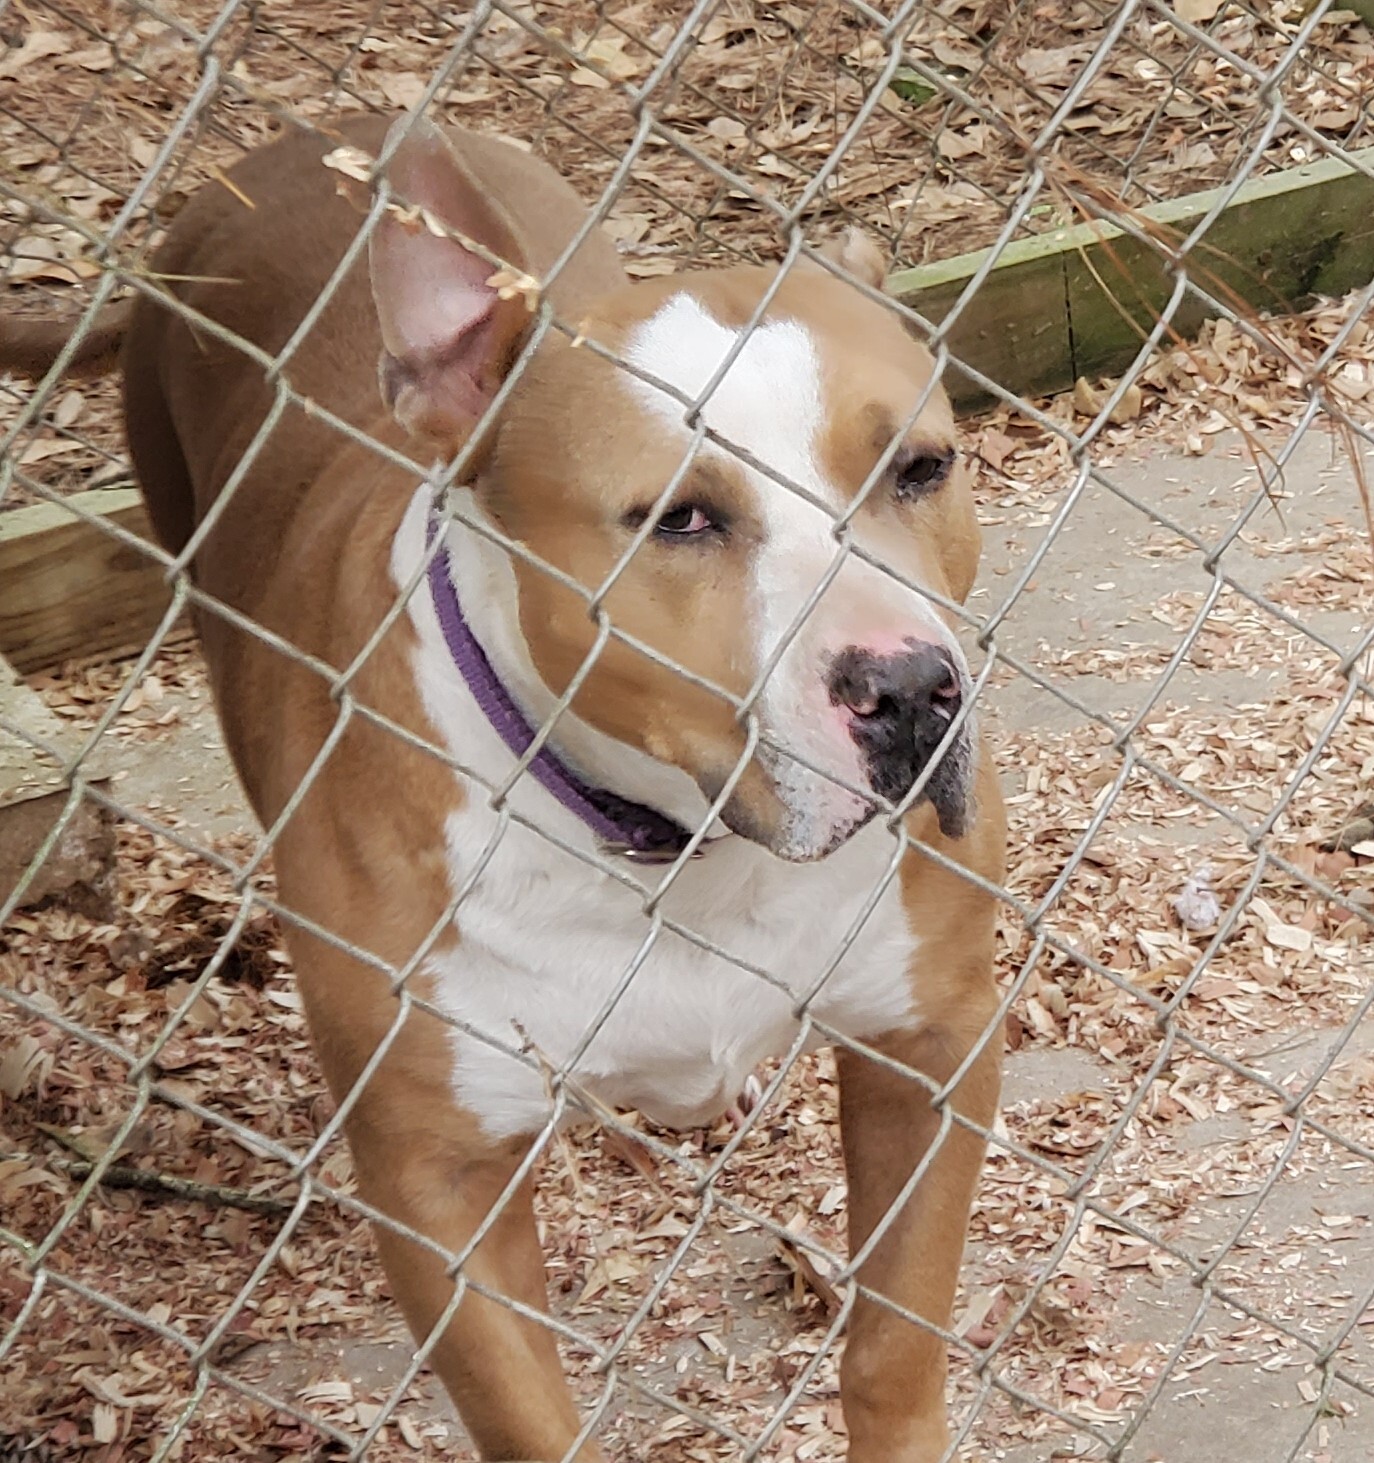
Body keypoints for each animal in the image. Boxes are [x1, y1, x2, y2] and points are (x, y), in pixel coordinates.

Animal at [2, 111, 1012, 1451]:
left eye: (921, 467)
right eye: (680, 520)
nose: (909, 691)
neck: (677, 849)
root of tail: (290, 143)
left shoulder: (932, 1040)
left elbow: (896, 1340)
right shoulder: (442, 1189)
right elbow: (533, 1420)